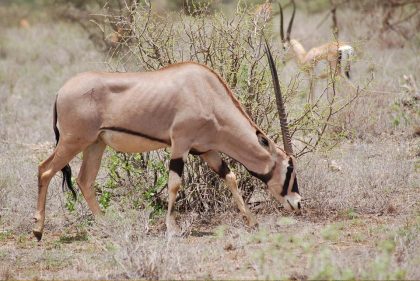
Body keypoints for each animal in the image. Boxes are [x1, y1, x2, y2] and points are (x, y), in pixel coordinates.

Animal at [33, 44, 302, 241]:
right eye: (290, 168)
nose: (298, 204)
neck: (208, 94)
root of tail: (61, 91)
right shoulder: (181, 144)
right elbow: (175, 184)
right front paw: (172, 229)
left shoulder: (206, 149)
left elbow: (230, 176)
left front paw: (252, 221)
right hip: (73, 141)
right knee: (45, 170)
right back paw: (38, 230)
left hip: (95, 144)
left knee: (84, 180)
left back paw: (106, 226)